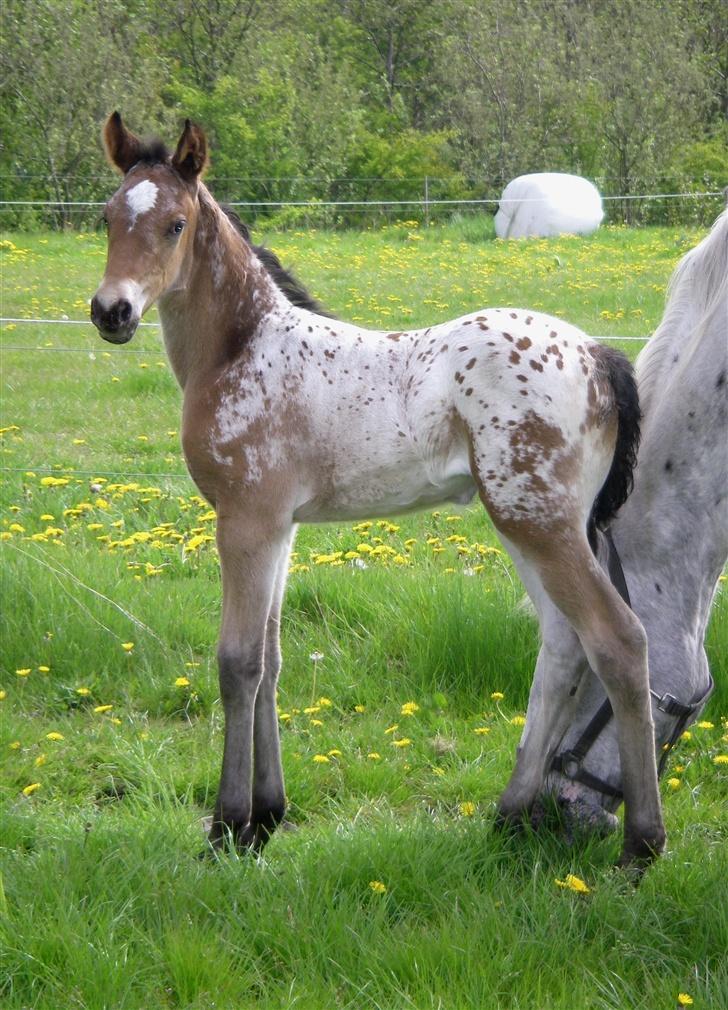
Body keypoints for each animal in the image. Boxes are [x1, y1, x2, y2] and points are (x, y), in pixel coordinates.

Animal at [90, 112, 666, 868]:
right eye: (105, 218)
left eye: (176, 224)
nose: (111, 311)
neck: (242, 351)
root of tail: (598, 355)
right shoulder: (280, 526)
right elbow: (271, 659)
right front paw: (267, 818)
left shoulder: (246, 521)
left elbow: (238, 663)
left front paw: (227, 828)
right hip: (532, 525)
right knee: (564, 647)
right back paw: (509, 817)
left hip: (539, 523)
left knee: (618, 640)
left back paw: (640, 846)